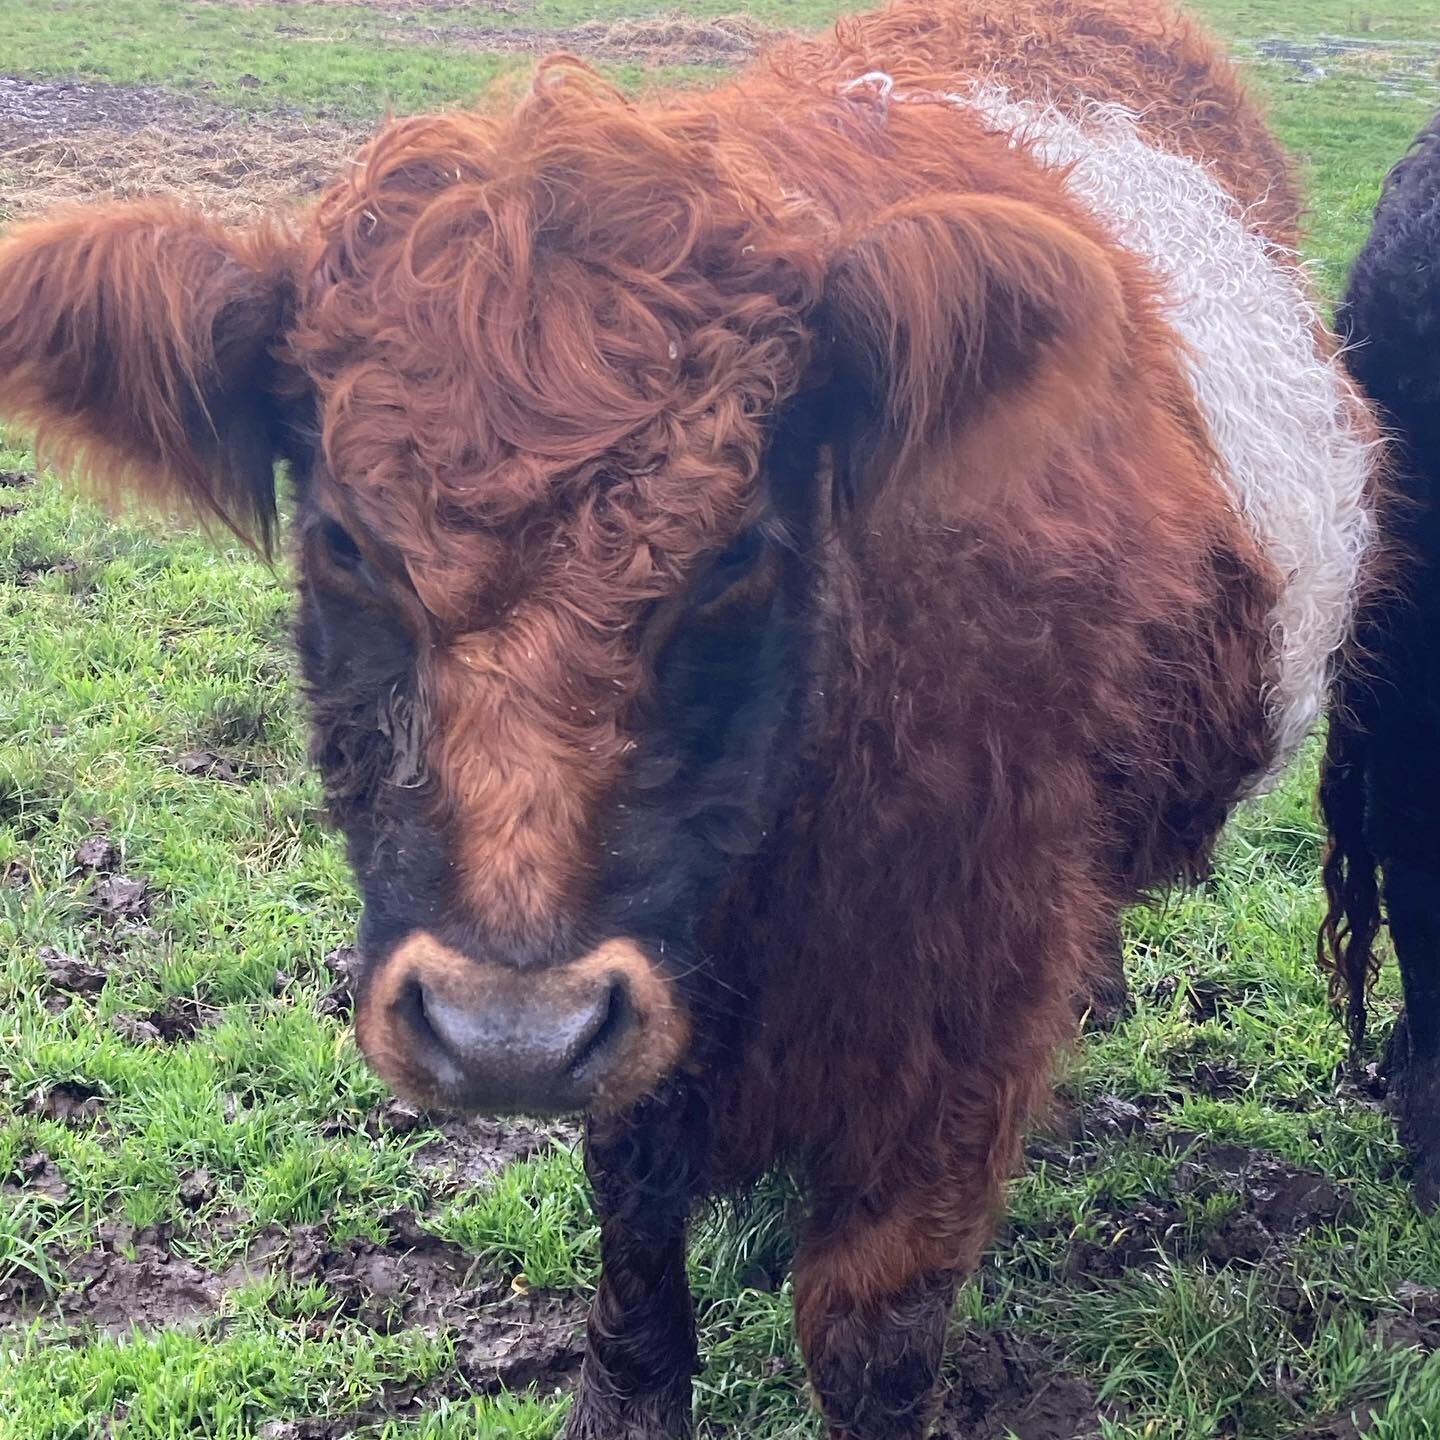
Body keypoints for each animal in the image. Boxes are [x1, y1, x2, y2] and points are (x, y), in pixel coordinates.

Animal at [0, 2, 1370, 1440]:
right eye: (346, 543)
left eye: (736, 555)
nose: (505, 1033)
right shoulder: (649, 997)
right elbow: (635, 1221)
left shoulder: (964, 1010)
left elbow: (871, 1324)